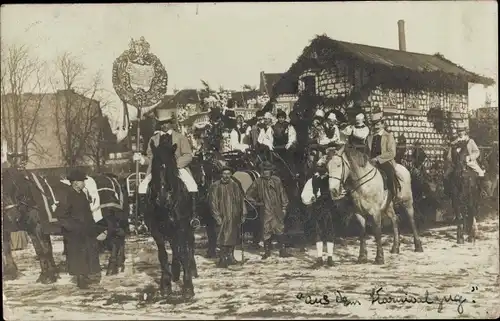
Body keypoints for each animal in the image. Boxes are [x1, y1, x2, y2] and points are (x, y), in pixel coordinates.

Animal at [145, 135, 195, 298]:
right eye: (154, 166)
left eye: (170, 166)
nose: (162, 198)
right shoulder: (156, 230)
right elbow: (163, 255)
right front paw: (165, 285)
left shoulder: (182, 226)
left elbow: (183, 252)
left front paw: (188, 287)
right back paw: (175, 272)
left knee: (188, 246)